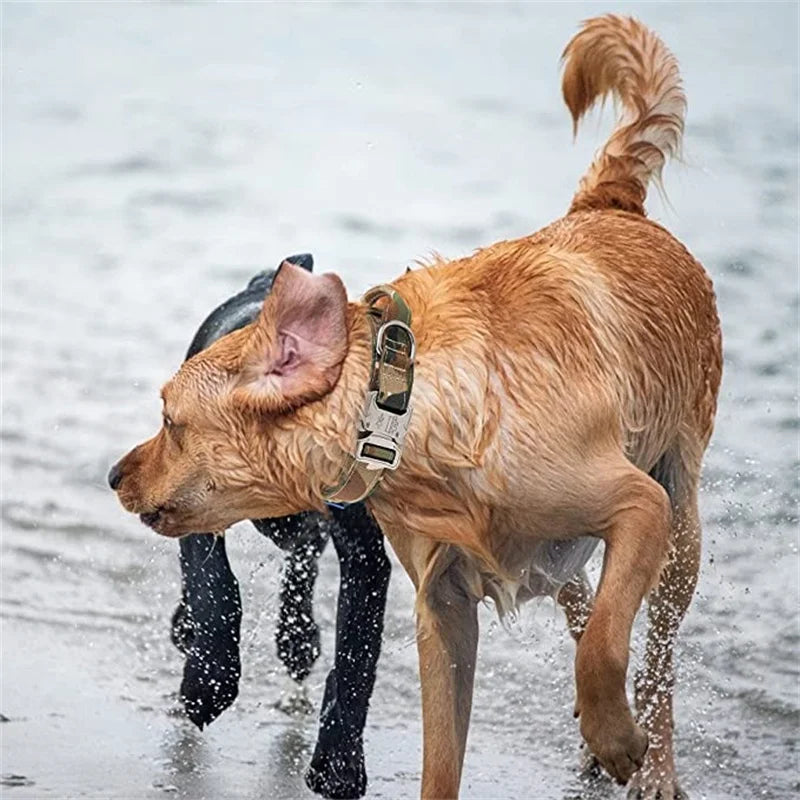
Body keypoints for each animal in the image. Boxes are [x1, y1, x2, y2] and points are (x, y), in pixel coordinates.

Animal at [170, 255, 392, 792]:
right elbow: (214, 588)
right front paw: (207, 683)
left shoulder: (365, 554)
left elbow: (356, 655)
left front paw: (339, 762)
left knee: (303, 558)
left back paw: (298, 639)